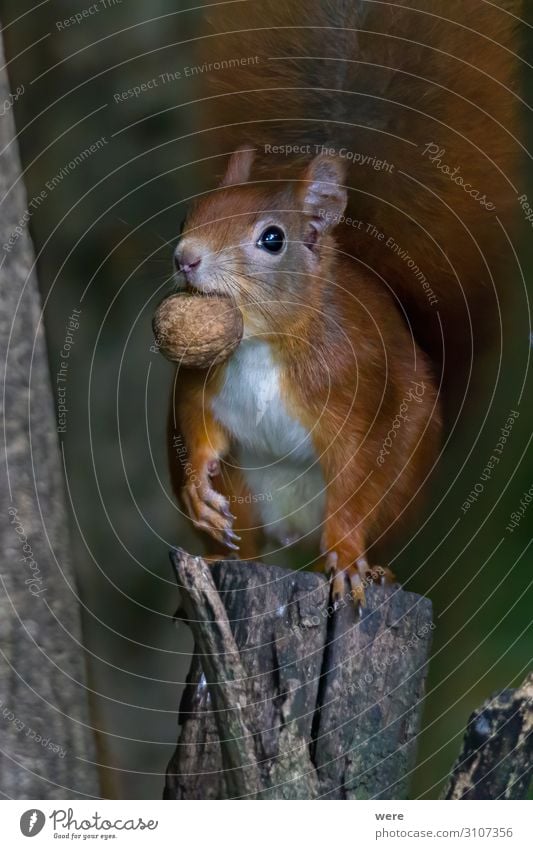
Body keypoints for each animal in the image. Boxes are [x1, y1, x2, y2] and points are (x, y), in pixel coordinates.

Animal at [165, 0, 520, 604]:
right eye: (189, 216)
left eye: (272, 239)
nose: (185, 258)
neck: (263, 343)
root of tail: (292, 538)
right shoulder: (202, 375)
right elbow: (197, 420)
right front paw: (196, 489)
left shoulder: (360, 387)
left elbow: (357, 477)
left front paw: (351, 562)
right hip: (247, 498)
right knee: (249, 543)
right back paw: (221, 556)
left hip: (399, 485)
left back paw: (362, 566)